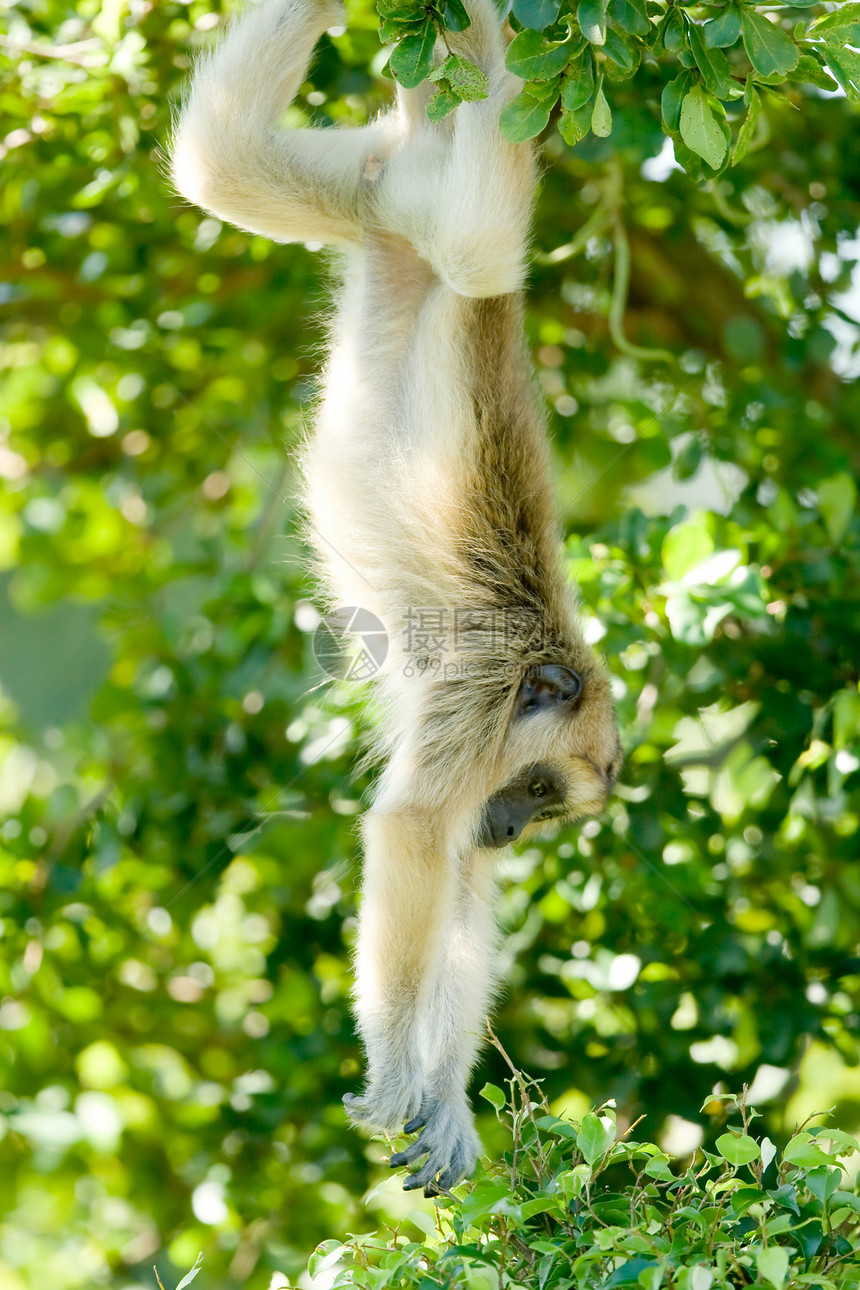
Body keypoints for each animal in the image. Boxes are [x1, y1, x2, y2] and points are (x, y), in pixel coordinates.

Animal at [171, 0, 621, 1191]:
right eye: (541, 790)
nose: (508, 827)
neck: (545, 659)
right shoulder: (479, 695)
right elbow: (416, 834)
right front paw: (395, 1074)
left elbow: (457, 879)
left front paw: (448, 1102)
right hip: (443, 217)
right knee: (479, 240)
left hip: (364, 193)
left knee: (221, 166)